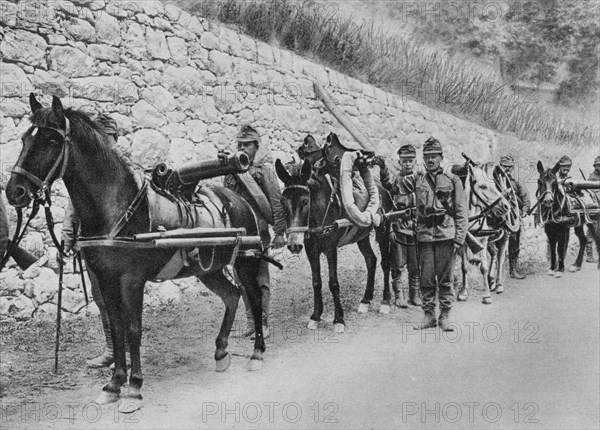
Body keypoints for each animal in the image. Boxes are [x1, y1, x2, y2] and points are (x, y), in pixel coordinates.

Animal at [4, 94, 266, 406]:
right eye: (24, 138)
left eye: (52, 141)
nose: (15, 191)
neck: (118, 207)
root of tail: (239, 201)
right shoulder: (106, 279)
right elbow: (116, 329)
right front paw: (114, 383)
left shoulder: (132, 280)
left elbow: (133, 329)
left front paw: (135, 386)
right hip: (209, 271)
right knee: (232, 295)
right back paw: (221, 351)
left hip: (245, 262)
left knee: (254, 296)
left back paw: (257, 353)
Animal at [274, 134, 396, 332]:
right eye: (282, 202)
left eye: (305, 201)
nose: (293, 245)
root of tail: (382, 186)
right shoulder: (311, 249)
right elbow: (316, 282)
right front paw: (316, 316)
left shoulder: (331, 248)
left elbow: (333, 283)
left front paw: (339, 319)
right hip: (361, 235)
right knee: (371, 260)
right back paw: (365, 300)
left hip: (383, 229)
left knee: (385, 262)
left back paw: (385, 302)